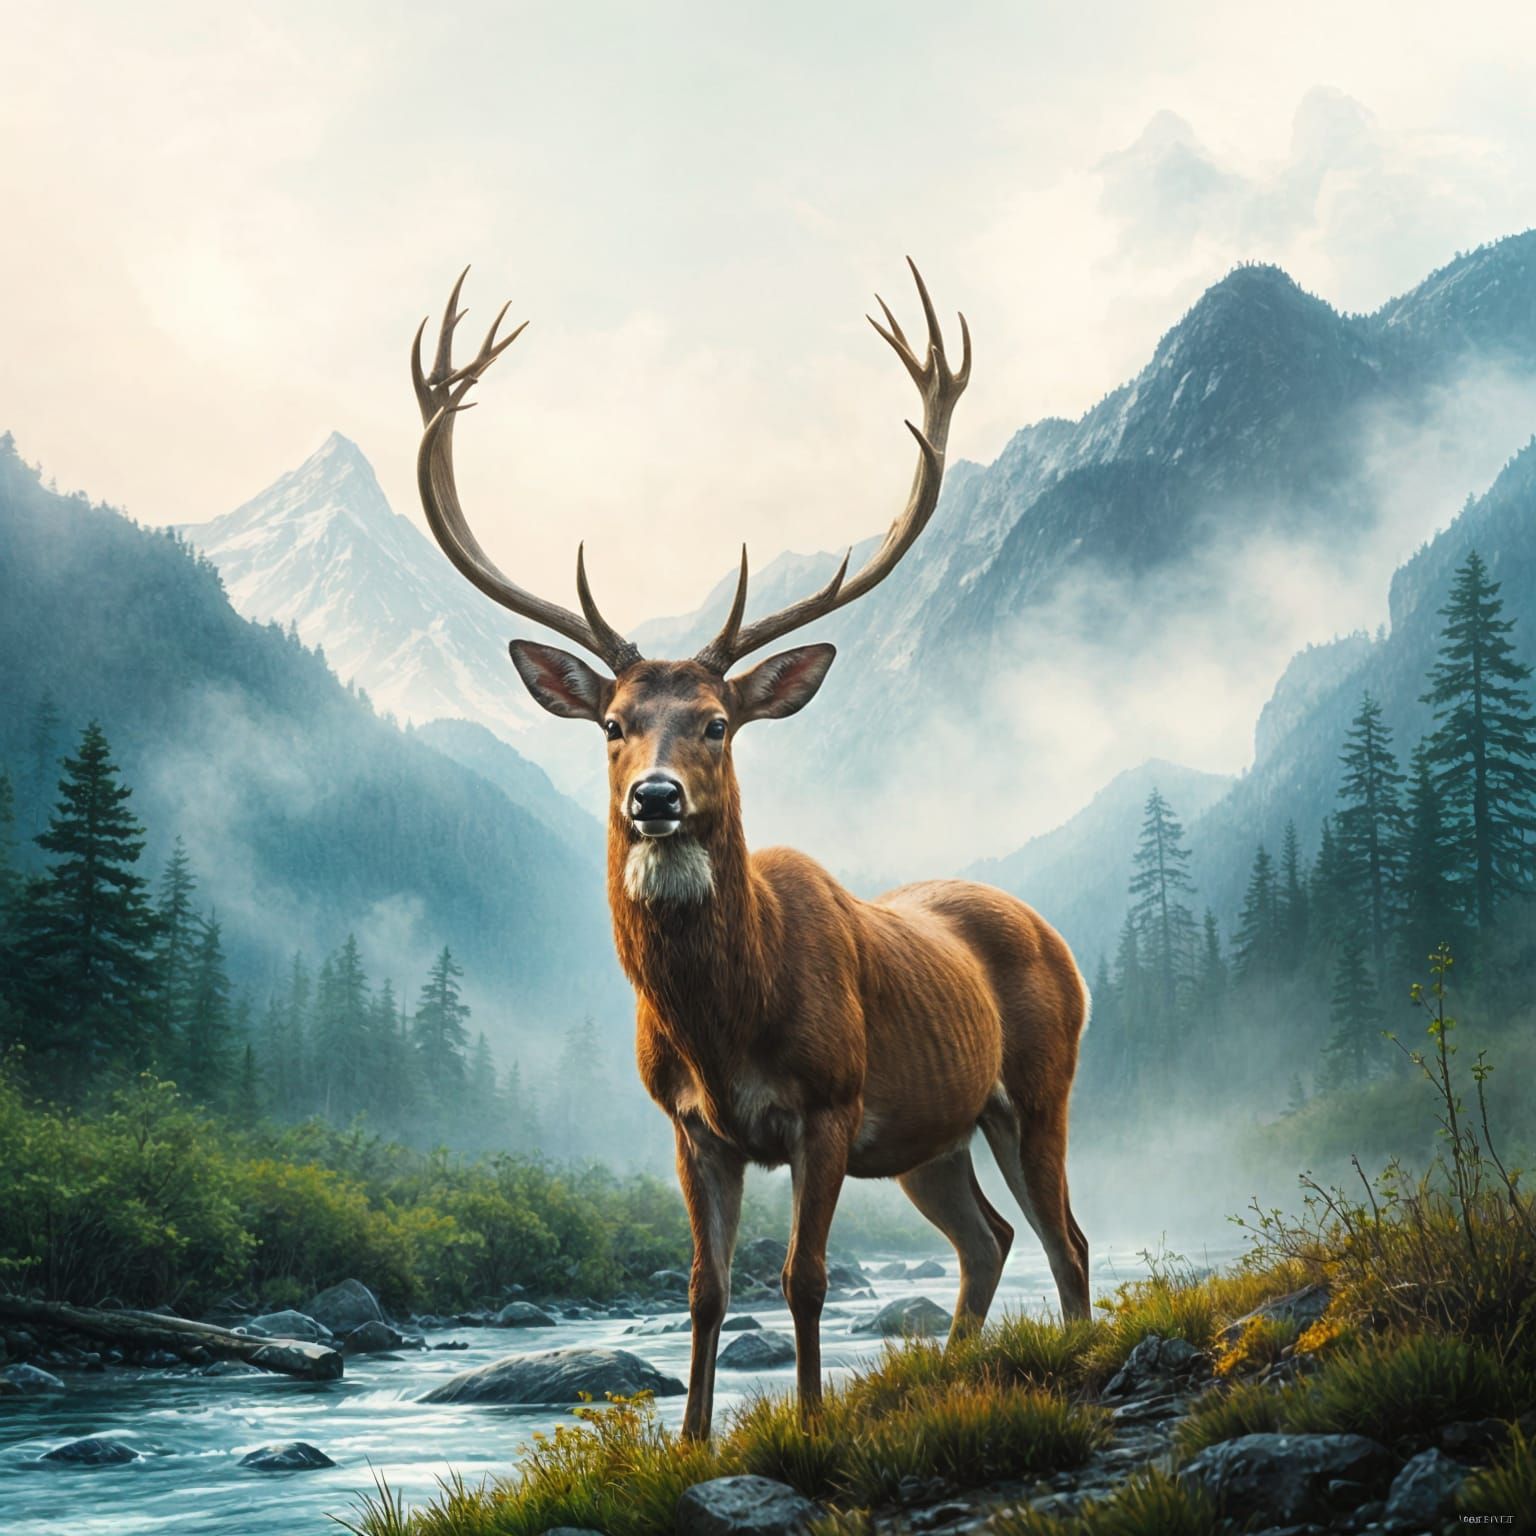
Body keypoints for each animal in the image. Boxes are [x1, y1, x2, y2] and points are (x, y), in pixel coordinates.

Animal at [410, 262, 1092, 1439]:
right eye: (613, 723)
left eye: (719, 722)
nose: (656, 798)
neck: (725, 1016)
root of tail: (1058, 938)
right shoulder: (693, 1126)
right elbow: (706, 1288)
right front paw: (690, 1440)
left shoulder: (828, 1100)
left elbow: (802, 1278)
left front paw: (812, 1426)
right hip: (934, 1135)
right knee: (989, 1237)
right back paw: (952, 1372)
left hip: (1038, 1085)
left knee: (1068, 1238)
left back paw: (1080, 1352)